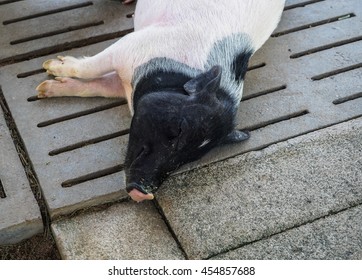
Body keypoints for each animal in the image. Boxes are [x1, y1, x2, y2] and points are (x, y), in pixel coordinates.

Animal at [36, 0, 286, 201]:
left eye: (193, 156)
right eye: (178, 130)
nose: (144, 193)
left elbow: (98, 86)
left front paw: (44, 88)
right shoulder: (130, 45)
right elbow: (88, 68)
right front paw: (49, 67)